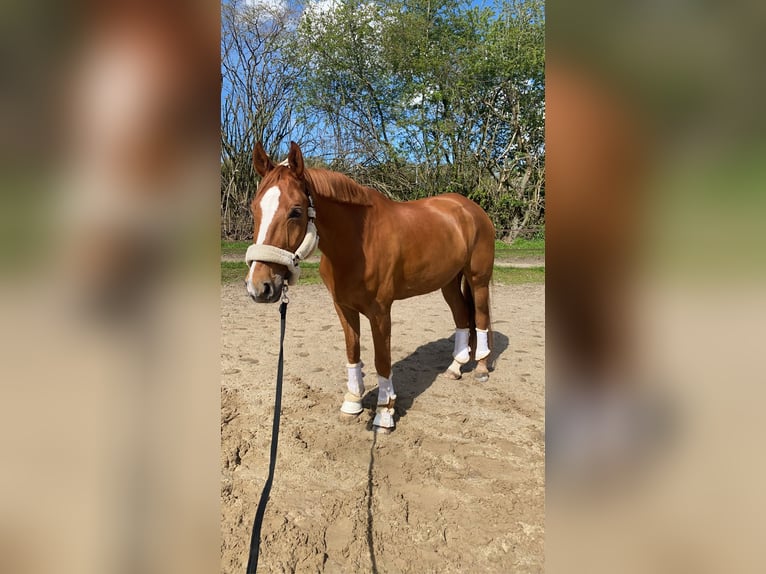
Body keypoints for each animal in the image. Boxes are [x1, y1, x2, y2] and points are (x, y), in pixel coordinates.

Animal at [246, 143, 498, 432]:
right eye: (254, 209)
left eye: (295, 211)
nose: (259, 287)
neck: (358, 243)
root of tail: (470, 209)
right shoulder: (343, 307)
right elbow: (352, 351)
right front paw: (352, 403)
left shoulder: (380, 312)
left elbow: (382, 360)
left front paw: (384, 413)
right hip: (448, 282)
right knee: (461, 316)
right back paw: (455, 367)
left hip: (477, 279)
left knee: (481, 316)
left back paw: (481, 367)